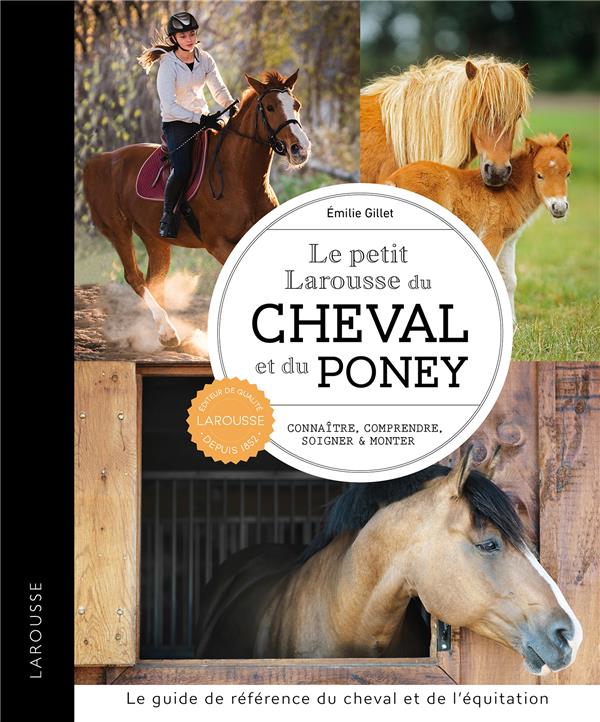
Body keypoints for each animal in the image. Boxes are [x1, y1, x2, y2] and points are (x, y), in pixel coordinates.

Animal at [83, 70, 311, 347]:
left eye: (296, 105)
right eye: (269, 107)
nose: (300, 149)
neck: (240, 178)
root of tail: (96, 162)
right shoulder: (218, 244)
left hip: (154, 238)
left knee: (154, 280)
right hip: (117, 230)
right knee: (134, 277)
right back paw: (168, 332)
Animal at [384, 133, 572, 324]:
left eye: (568, 174)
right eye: (539, 175)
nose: (559, 208)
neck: (510, 191)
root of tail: (394, 179)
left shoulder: (509, 242)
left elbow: (510, 280)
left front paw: (512, 323)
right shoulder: (492, 236)